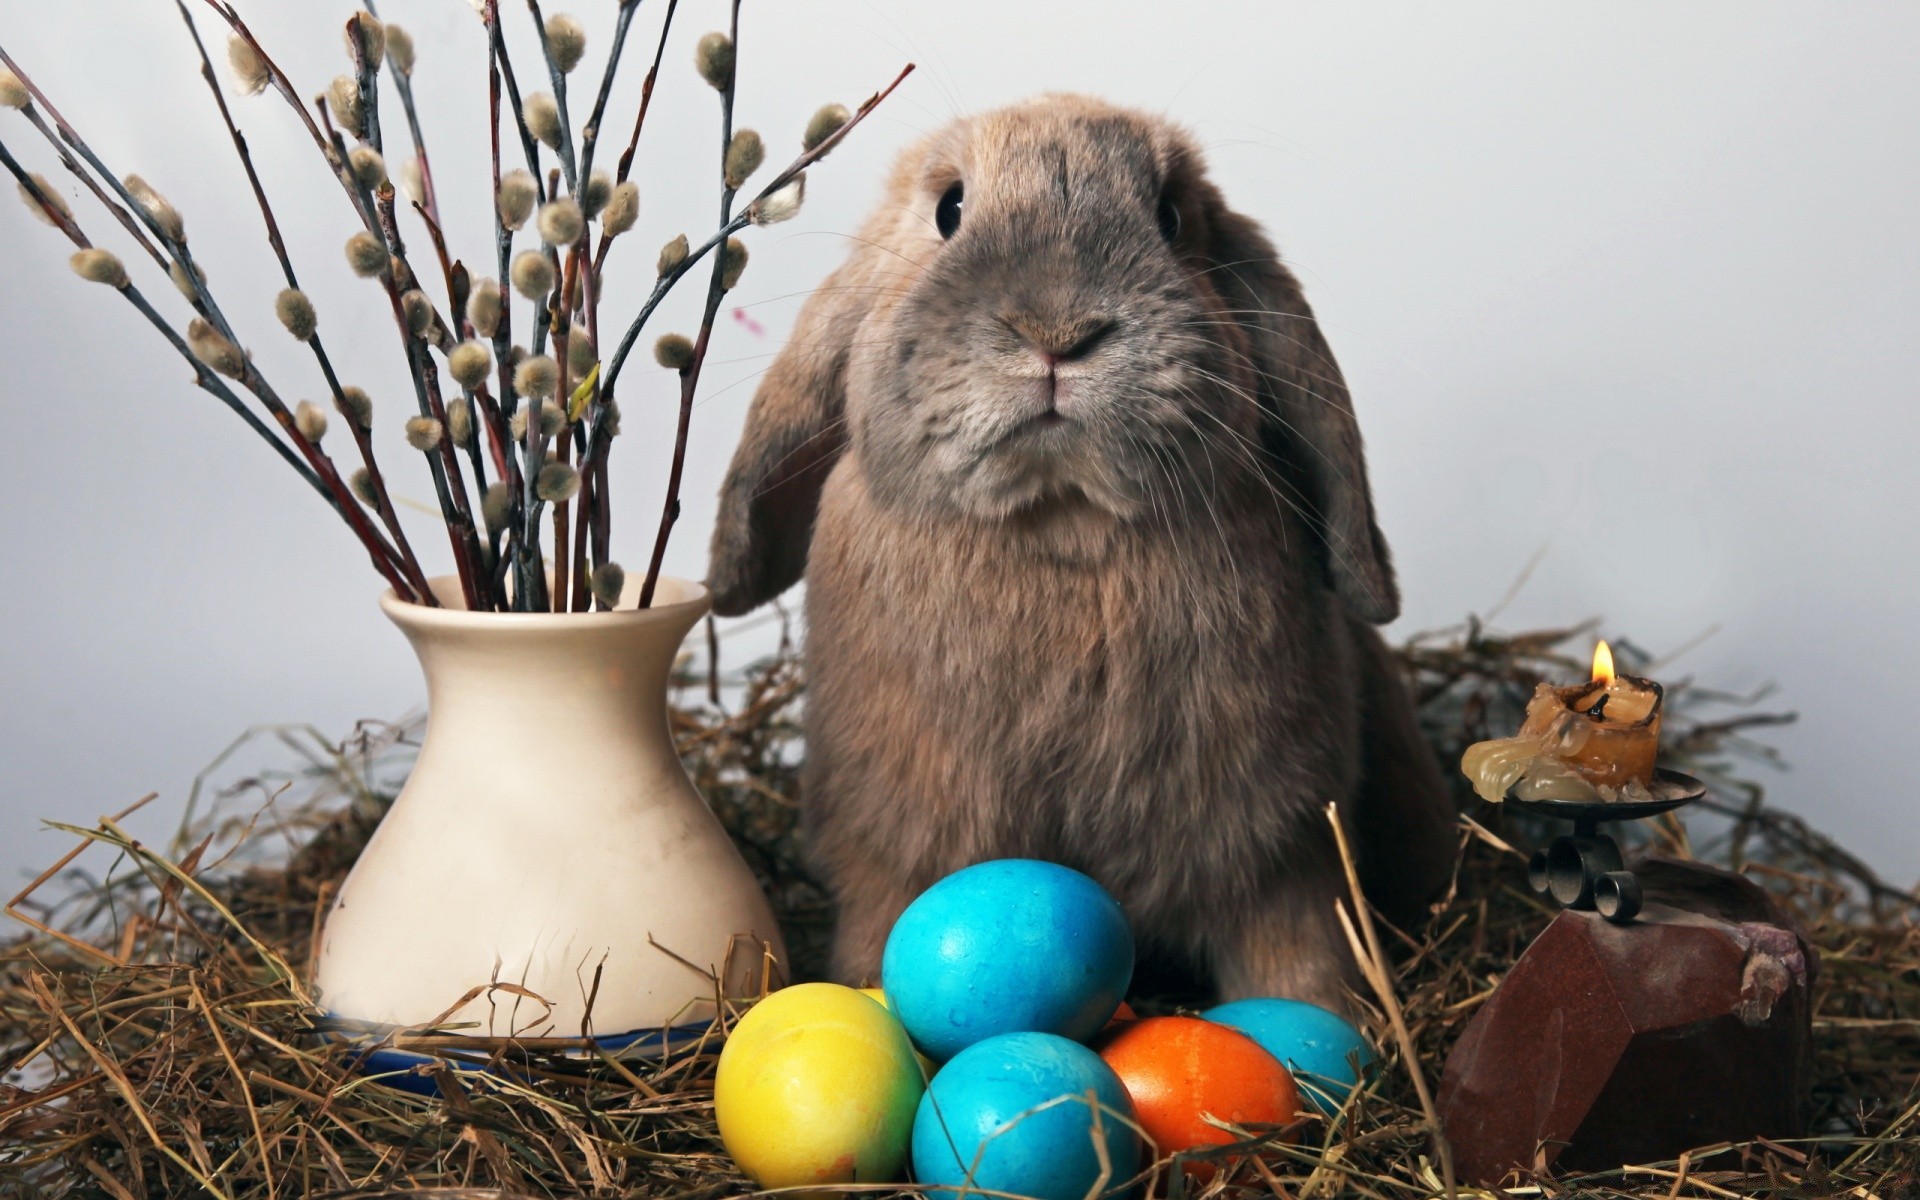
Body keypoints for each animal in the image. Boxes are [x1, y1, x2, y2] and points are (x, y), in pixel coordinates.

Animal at [706, 96, 1451, 1013]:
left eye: (1172, 218)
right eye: (949, 210)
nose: (1058, 331)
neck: (1060, 524)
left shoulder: (1285, 861)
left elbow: (1299, 961)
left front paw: (1326, 1030)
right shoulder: (895, 861)